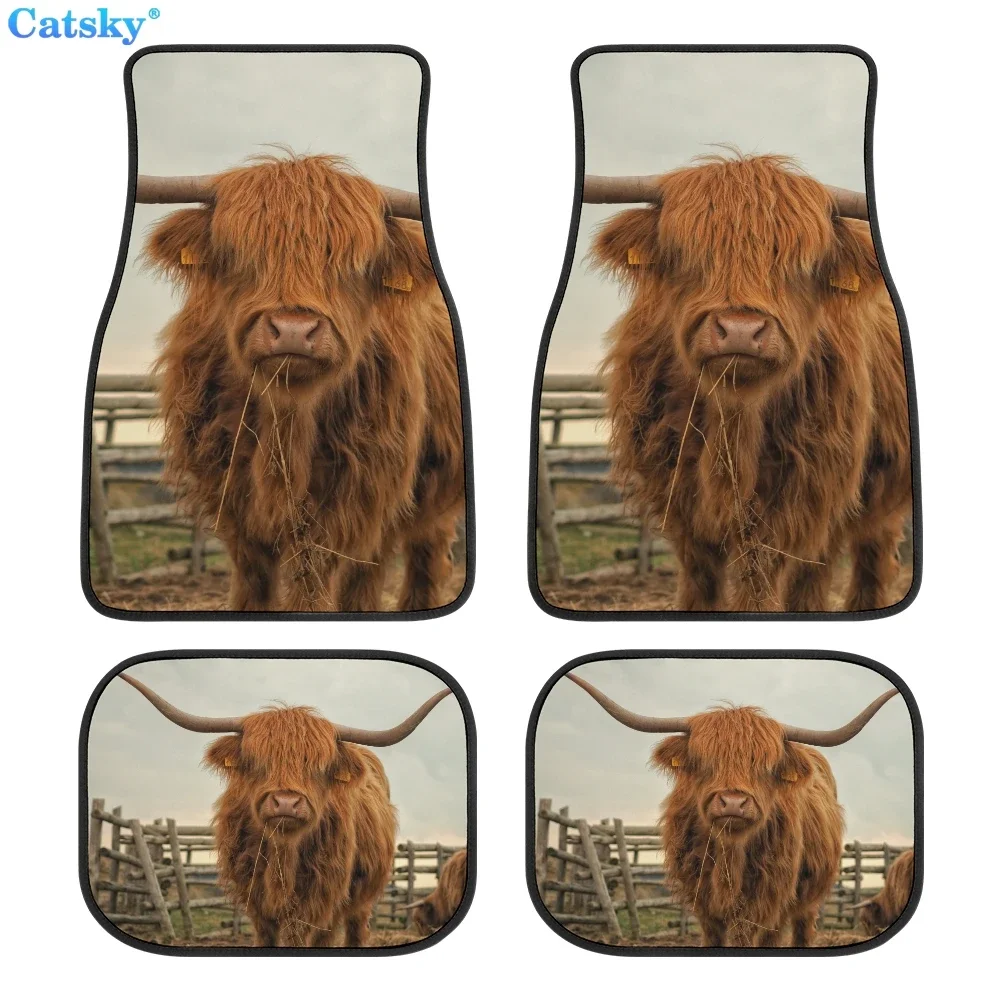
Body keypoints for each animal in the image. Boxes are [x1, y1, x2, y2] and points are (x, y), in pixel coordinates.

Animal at [119, 672, 452, 947]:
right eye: (257, 761)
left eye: (318, 766)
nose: (286, 803)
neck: (283, 852)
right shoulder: (257, 904)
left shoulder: (315, 903)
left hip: (360, 899)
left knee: (352, 931)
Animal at [143, 153, 464, 612]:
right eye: (240, 256)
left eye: (354, 265)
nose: (293, 330)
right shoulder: (231, 499)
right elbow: (253, 582)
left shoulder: (352, 495)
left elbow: (312, 579)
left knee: (416, 559)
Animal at [566, 673, 899, 947]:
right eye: (704, 761)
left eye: (765, 766)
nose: (733, 803)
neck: (730, 853)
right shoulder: (704, 905)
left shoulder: (764, 904)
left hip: (806, 900)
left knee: (799, 931)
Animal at [591, 153, 911, 612]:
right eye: (688, 255)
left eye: (800, 265)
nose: (740, 330)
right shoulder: (678, 498)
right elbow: (700, 582)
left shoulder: (798, 495)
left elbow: (759, 580)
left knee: (862, 558)